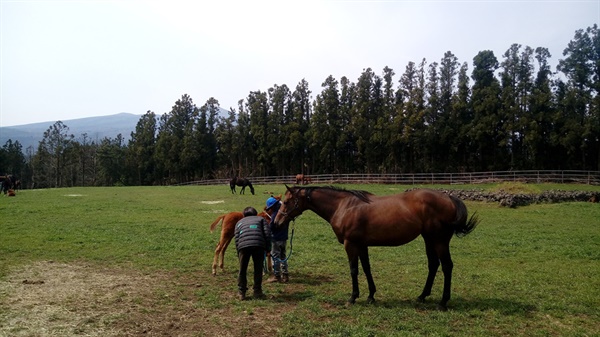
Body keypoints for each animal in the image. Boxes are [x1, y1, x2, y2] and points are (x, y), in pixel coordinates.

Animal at [274, 185, 480, 308]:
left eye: (287, 202)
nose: (276, 222)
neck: (344, 206)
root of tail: (450, 199)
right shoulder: (362, 245)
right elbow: (366, 268)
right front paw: (371, 295)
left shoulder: (351, 244)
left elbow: (354, 270)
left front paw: (353, 297)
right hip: (429, 239)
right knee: (433, 265)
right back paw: (422, 296)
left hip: (439, 241)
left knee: (447, 266)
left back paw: (443, 301)